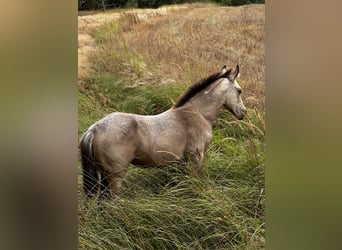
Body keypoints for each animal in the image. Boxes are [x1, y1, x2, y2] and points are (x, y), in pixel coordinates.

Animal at [79, 64, 247, 197]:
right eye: (239, 90)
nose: (243, 112)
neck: (197, 114)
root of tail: (94, 129)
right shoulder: (196, 158)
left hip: (103, 177)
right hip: (115, 177)